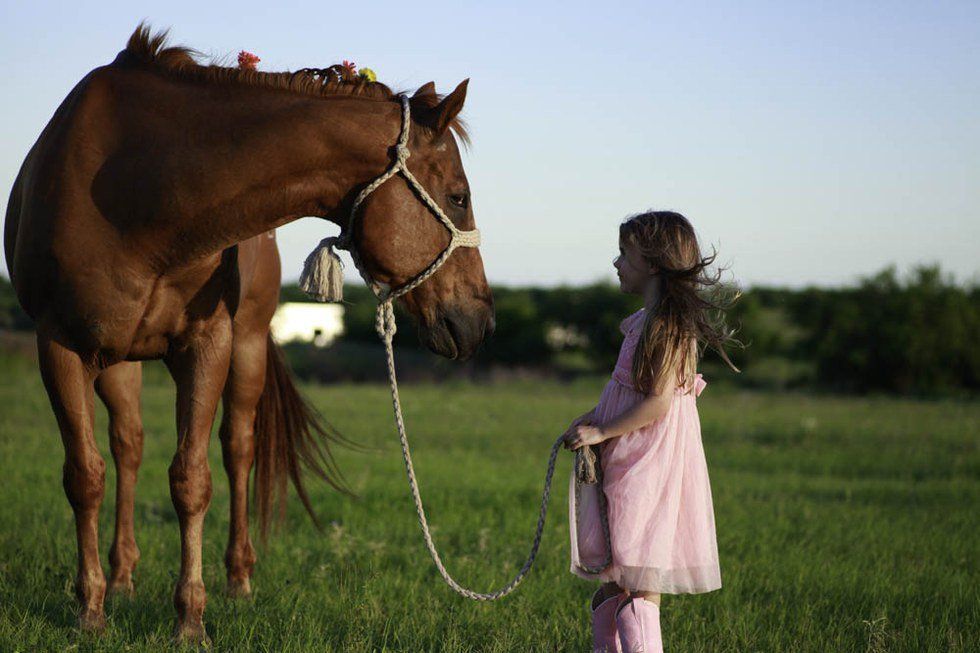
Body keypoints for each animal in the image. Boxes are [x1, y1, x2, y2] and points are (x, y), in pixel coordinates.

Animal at [3, 25, 494, 644]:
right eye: (458, 196)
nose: (481, 320)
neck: (137, 193)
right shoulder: (60, 347)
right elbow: (84, 477)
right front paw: (90, 610)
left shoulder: (206, 345)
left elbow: (192, 479)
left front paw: (190, 620)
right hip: (119, 359)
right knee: (128, 446)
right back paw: (121, 578)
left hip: (248, 347)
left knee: (237, 448)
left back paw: (237, 579)